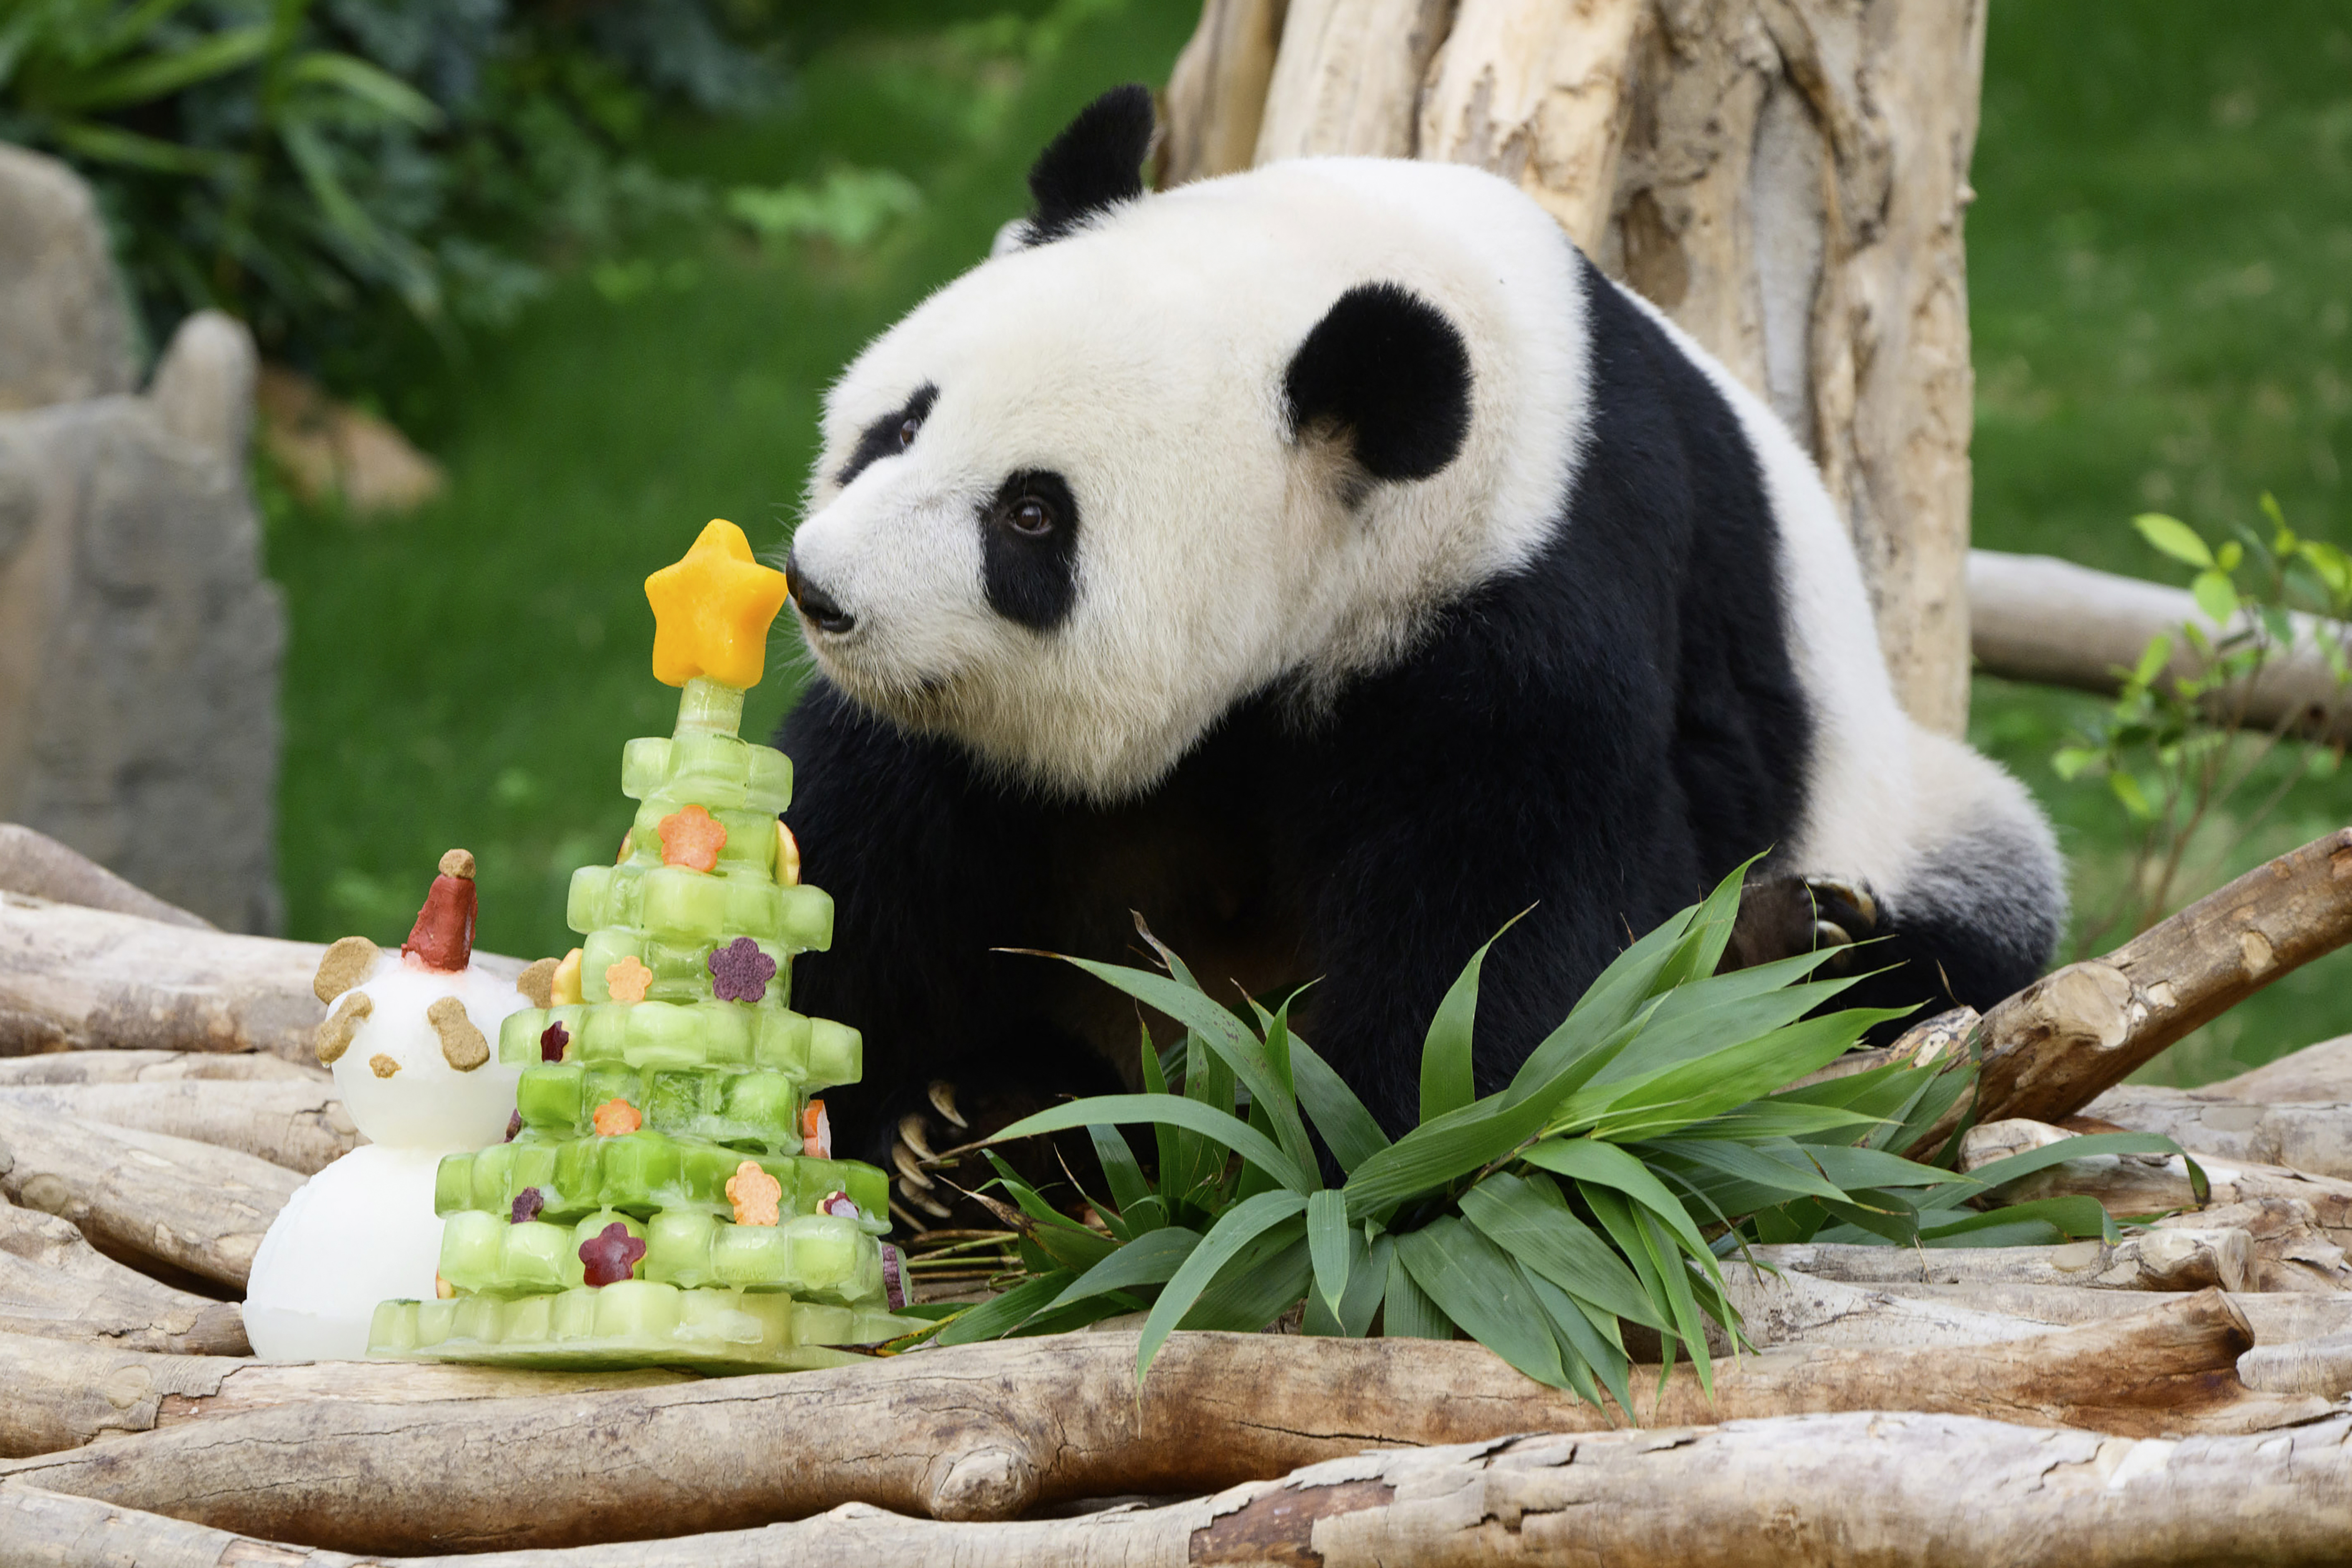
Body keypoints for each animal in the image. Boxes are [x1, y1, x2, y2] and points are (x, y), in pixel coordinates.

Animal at [776, 86, 2060, 1213]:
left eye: (1032, 516)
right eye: (902, 424)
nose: (819, 592)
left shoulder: (1528, 584)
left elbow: (1506, 933)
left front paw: (1360, 1149)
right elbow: (867, 846)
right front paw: (905, 1111)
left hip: (1896, 801)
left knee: (1965, 930)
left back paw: (1796, 937)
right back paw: (994, 1123)